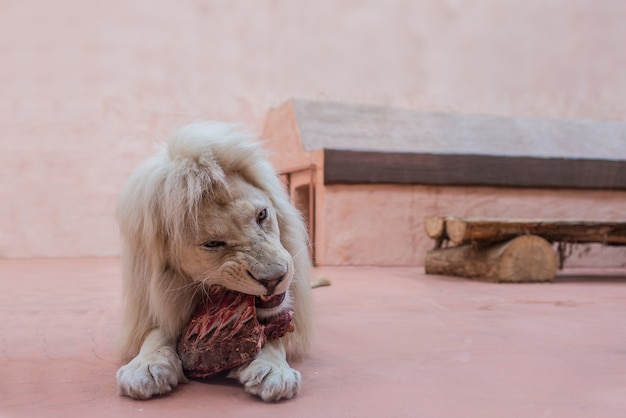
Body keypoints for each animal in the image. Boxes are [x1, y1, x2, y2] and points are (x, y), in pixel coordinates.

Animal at [114, 123, 312, 402]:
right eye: (212, 244)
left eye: (262, 215)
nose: (275, 278)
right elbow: (155, 335)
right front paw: (146, 366)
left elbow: (276, 335)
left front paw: (273, 369)